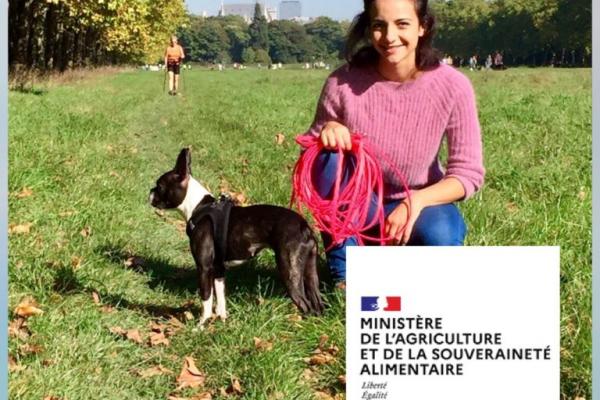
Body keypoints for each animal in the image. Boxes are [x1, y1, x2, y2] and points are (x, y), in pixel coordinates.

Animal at [149, 148, 324, 325]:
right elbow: (220, 298)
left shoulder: (204, 268)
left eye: (160, 186)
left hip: (290, 270)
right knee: (317, 303)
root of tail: (304, 226)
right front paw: (222, 320)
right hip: (310, 271)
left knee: (306, 304)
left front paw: (201, 325)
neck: (198, 207)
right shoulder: (219, 269)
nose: (150, 191)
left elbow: (206, 298)